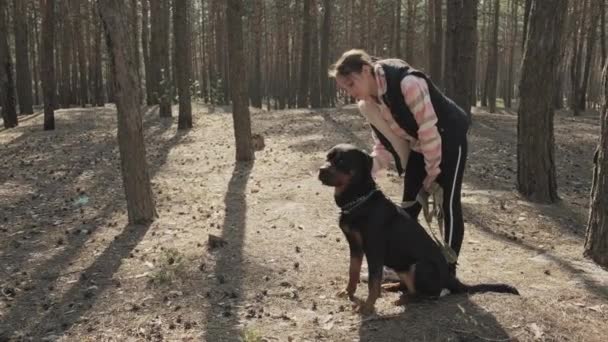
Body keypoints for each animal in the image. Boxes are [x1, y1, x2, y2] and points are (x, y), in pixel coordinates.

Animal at [318, 143, 516, 314]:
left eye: (341, 161)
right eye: (327, 157)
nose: (320, 170)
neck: (358, 200)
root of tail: (449, 277)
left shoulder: (374, 250)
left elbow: (373, 283)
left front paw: (367, 307)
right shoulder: (355, 246)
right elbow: (353, 271)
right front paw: (348, 292)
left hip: (419, 266)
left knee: (430, 294)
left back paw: (405, 299)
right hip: (401, 265)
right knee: (408, 286)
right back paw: (393, 287)